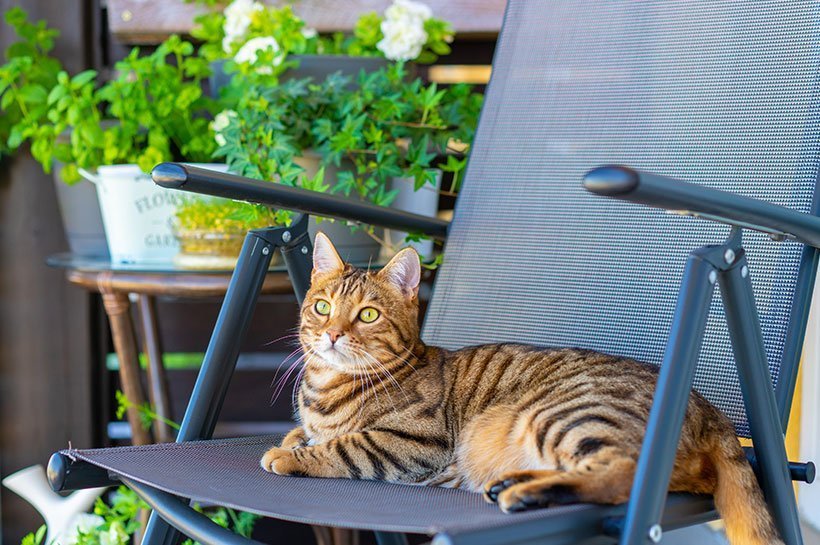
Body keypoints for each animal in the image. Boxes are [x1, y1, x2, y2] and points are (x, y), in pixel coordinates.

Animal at [262, 232, 780, 540]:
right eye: (322, 307)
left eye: (368, 315)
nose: (332, 334)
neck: (327, 387)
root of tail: (710, 409)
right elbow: (301, 432)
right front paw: (291, 440)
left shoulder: (413, 442)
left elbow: (341, 446)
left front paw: (291, 456)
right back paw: (516, 484)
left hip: (565, 415)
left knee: (623, 475)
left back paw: (523, 494)